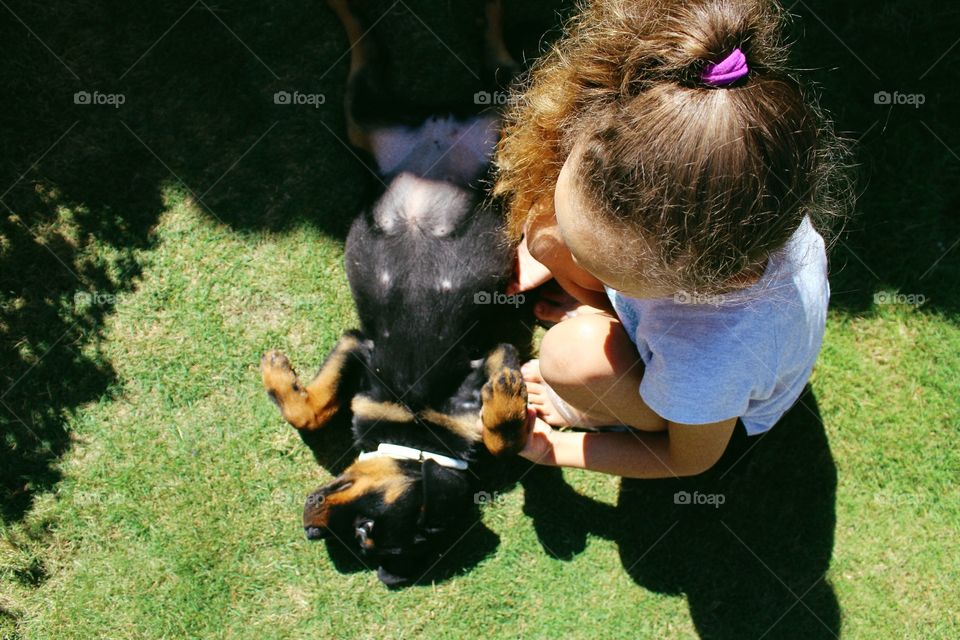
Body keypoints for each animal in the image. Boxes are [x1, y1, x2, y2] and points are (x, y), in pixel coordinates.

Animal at [260, 0, 532, 588]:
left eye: (365, 533)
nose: (309, 519)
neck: (417, 429)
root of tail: (443, 124)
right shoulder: (360, 348)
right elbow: (313, 410)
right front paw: (278, 376)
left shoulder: (482, 354)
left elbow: (503, 436)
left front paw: (504, 399)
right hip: (370, 116)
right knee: (368, 46)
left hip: (486, 105)